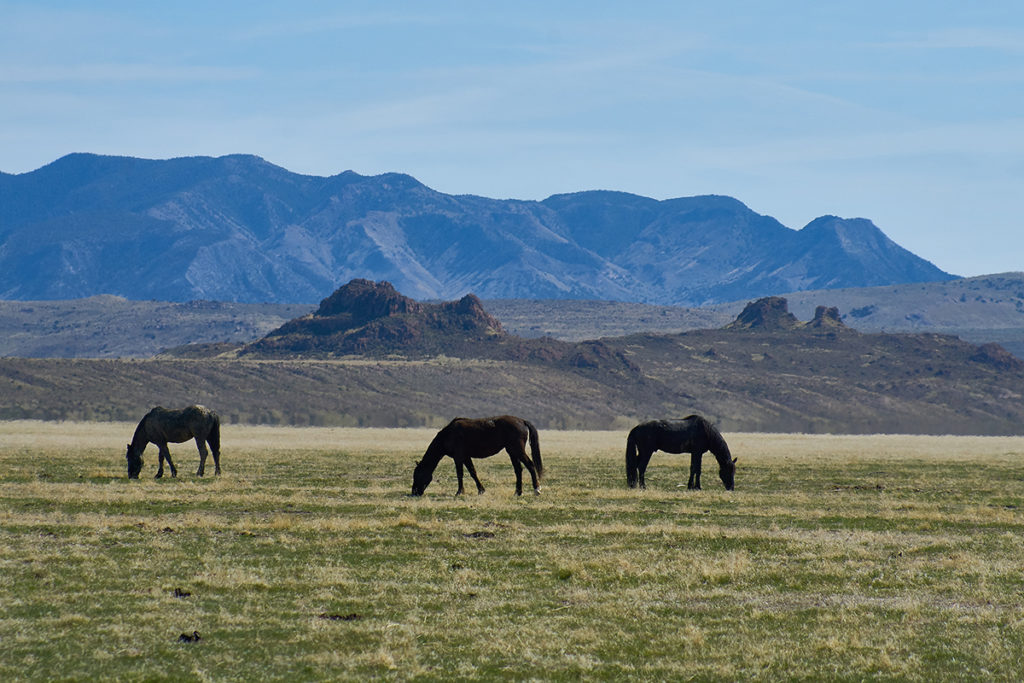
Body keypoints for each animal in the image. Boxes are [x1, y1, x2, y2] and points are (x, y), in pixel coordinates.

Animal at [411, 417, 544, 497]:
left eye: (417, 475)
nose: (414, 493)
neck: (449, 434)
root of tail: (522, 421)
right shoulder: (466, 457)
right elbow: (472, 472)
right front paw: (481, 490)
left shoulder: (458, 457)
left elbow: (460, 474)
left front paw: (459, 492)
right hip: (512, 452)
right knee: (518, 470)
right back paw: (518, 492)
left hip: (517, 451)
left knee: (530, 465)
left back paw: (537, 489)